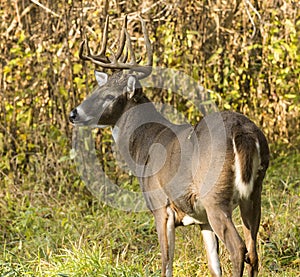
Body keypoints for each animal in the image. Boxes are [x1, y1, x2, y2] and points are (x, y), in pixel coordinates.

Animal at [69, 15, 270, 276]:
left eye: (109, 96)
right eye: (97, 88)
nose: (73, 113)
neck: (143, 147)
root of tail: (242, 131)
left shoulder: (160, 206)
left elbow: (166, 264)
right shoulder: (201, 218)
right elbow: (214, 266)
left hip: (215, 196)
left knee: (239, 249)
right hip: (254, 194)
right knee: (254, 252)